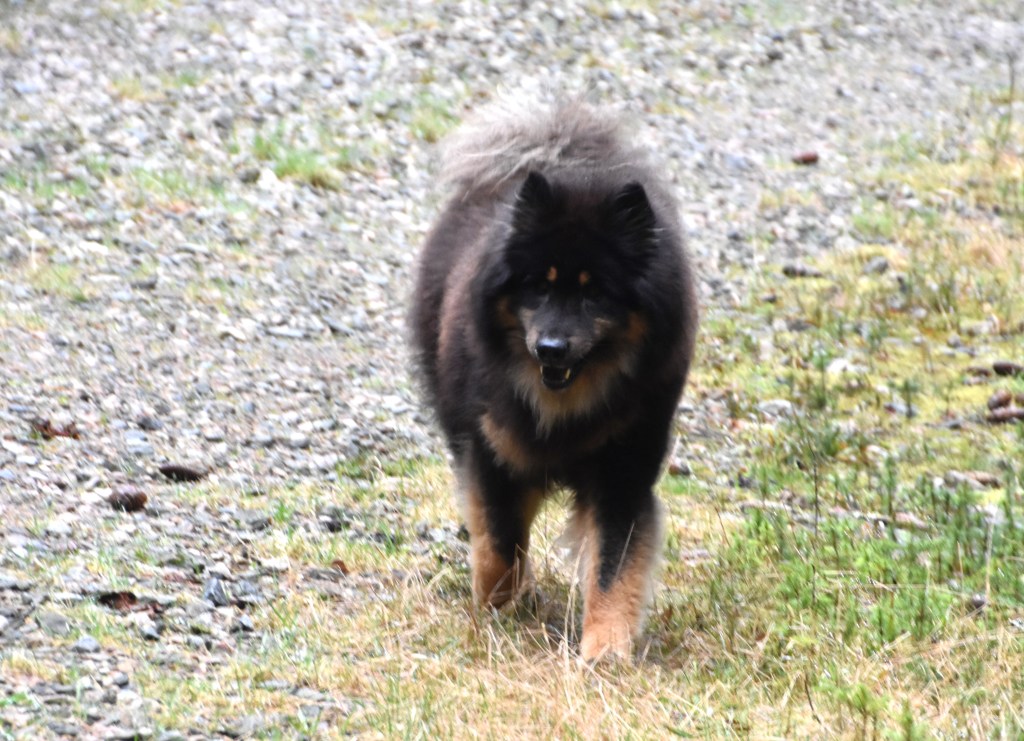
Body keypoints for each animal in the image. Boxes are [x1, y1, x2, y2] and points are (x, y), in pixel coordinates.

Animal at [410, 97, 698, 660]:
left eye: (595, 293)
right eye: (538, 287)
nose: (550, 347)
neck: (564, 407)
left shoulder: (621, 471)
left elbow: (613, 565)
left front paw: (605, 649)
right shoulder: (494, 453)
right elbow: (499, 544)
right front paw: (497, 610)